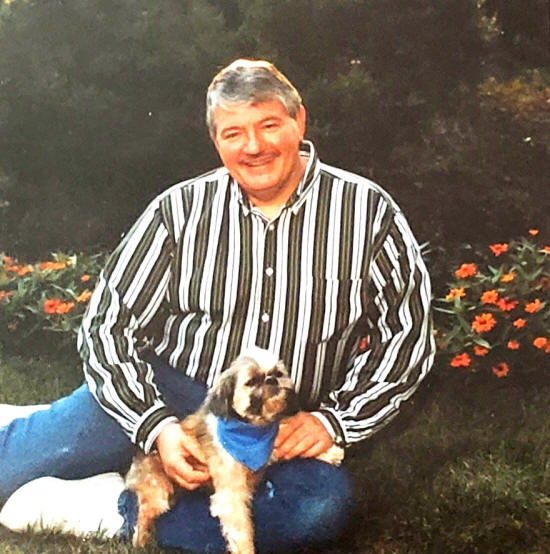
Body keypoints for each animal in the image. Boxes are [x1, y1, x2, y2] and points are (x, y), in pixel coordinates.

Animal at [126, 347, 343, 553]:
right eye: (252, 381)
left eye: (278, 373)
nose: (272, 380)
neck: (253, 430)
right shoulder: (231, 495)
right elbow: (241, 531)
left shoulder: (273, 440)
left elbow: (287, 433)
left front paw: (330, 451)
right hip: (159, 491)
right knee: (143, 514)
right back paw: (140, 539)